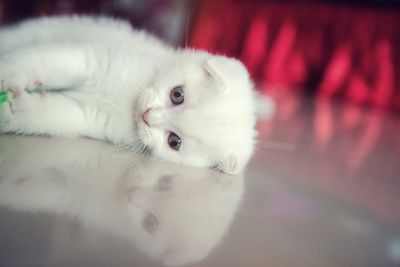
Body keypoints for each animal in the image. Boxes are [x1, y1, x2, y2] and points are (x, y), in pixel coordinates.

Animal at [0, 15, 272, 175]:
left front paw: (12, 109)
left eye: (174, 142)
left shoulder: (86, 116)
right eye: (177, 95)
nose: (148, 116)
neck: (128, 102)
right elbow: (43, 64)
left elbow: (50, 114)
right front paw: (7, 74)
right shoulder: (93, 61)